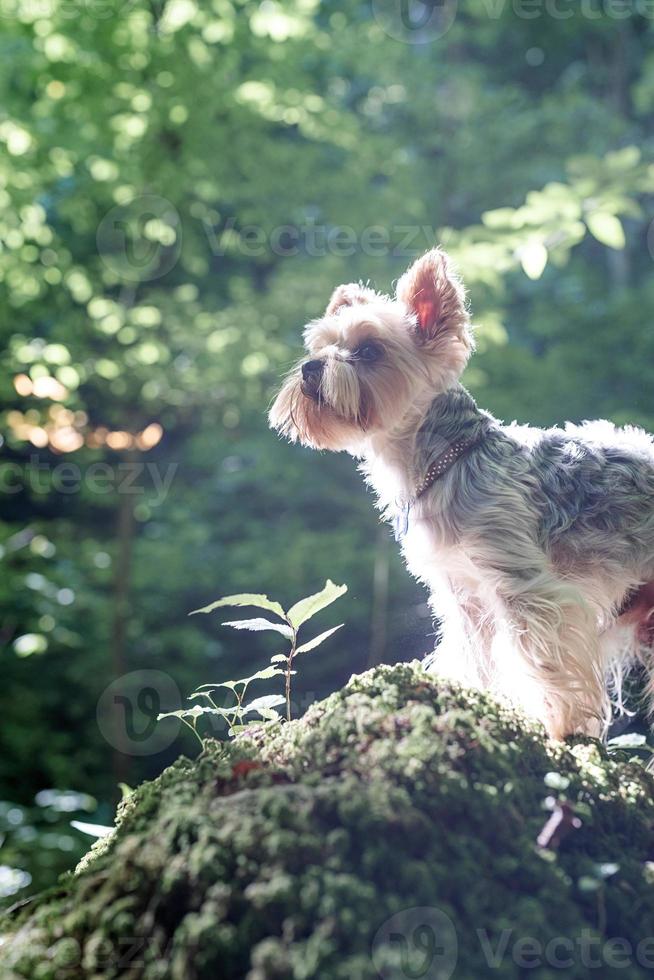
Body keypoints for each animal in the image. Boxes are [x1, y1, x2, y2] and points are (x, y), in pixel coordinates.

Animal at [270, 249, 654, 740]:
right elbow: (473, 658)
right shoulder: (463, 597)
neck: (443, 461)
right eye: (318, 348)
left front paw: (557, 725)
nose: (310, 368)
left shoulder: (527, 589)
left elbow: (544, 663)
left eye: (369, 350)